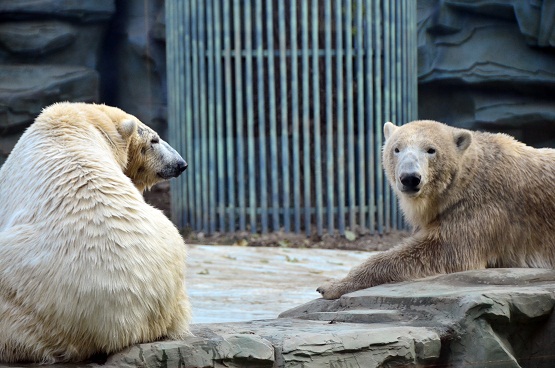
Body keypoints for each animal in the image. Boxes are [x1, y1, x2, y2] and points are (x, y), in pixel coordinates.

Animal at [318, 120, 555, 300]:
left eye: (431, 150)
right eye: (397, 148)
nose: (410, 178)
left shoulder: (484, 207)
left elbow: (443, 250)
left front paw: (331, 285)